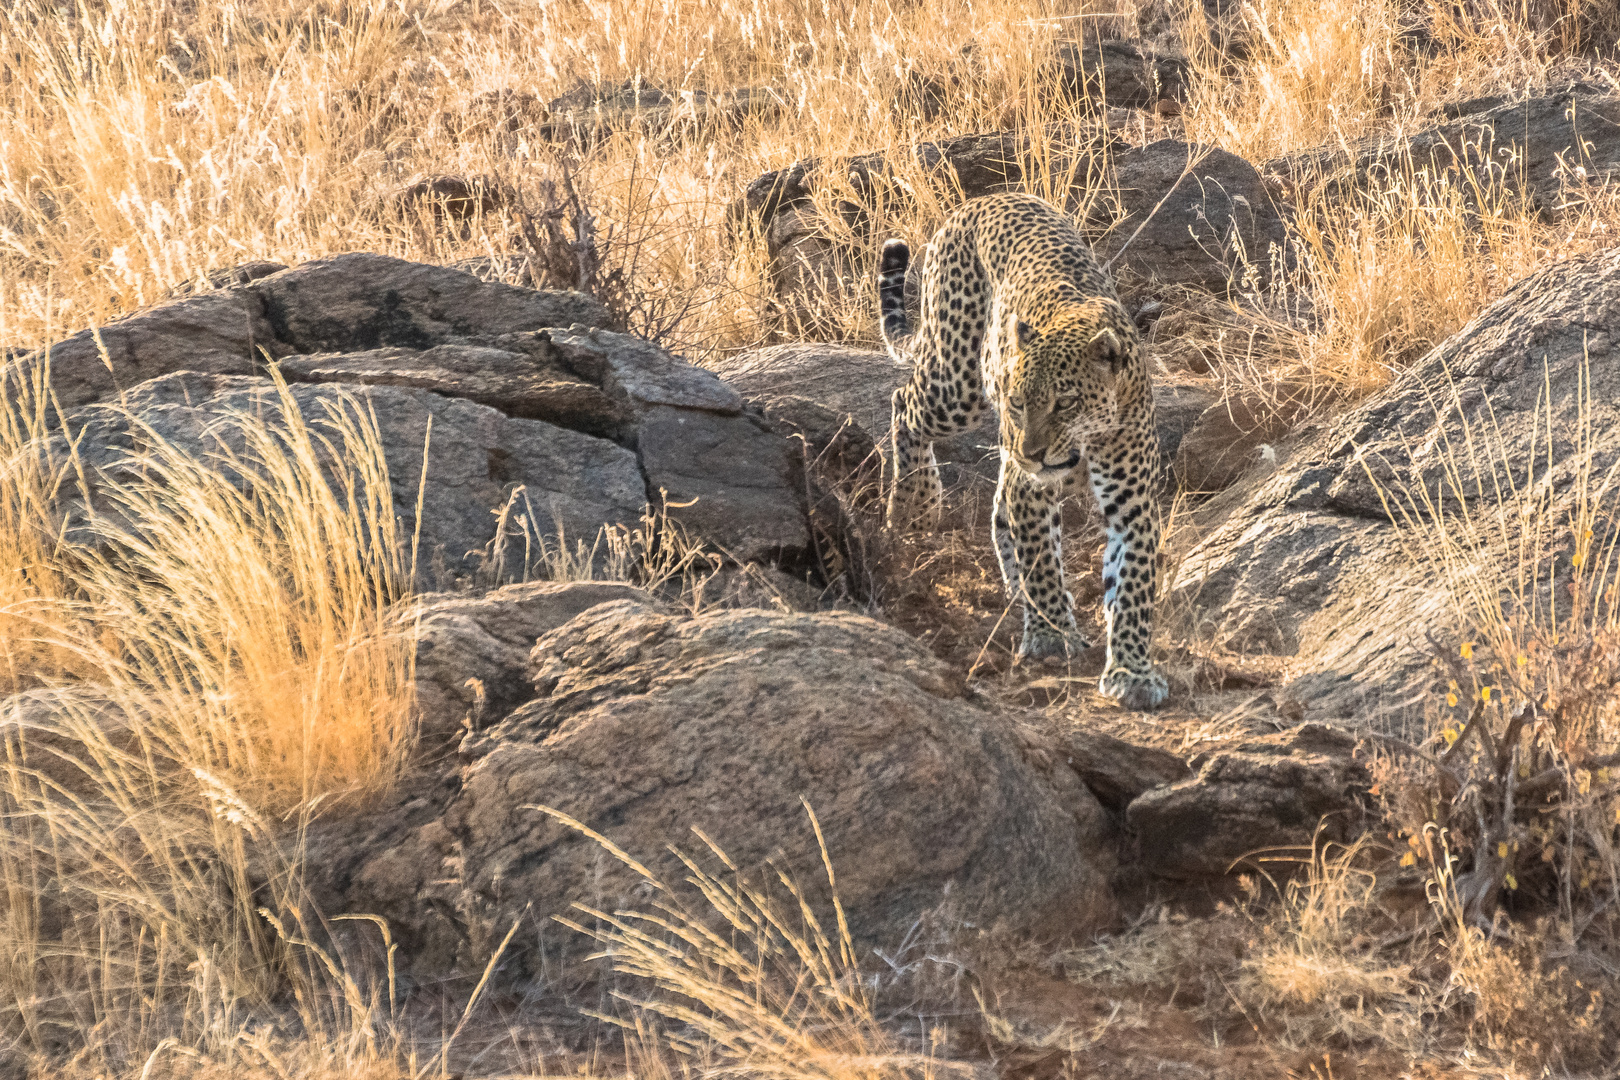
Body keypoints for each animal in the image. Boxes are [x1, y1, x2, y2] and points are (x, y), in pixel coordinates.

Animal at [881, 190, 1172, 712]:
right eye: (1017, 401)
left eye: (1066, 402)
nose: (1032, 452)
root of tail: (983, 199)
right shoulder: (1030, 487)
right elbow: (1041, 560)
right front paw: (1052, 637)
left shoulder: (1134, 502)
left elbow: (1133, 584)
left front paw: (1133, 672)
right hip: (956, 381)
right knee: (904, 403)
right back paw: (916, 505)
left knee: (999, 512)